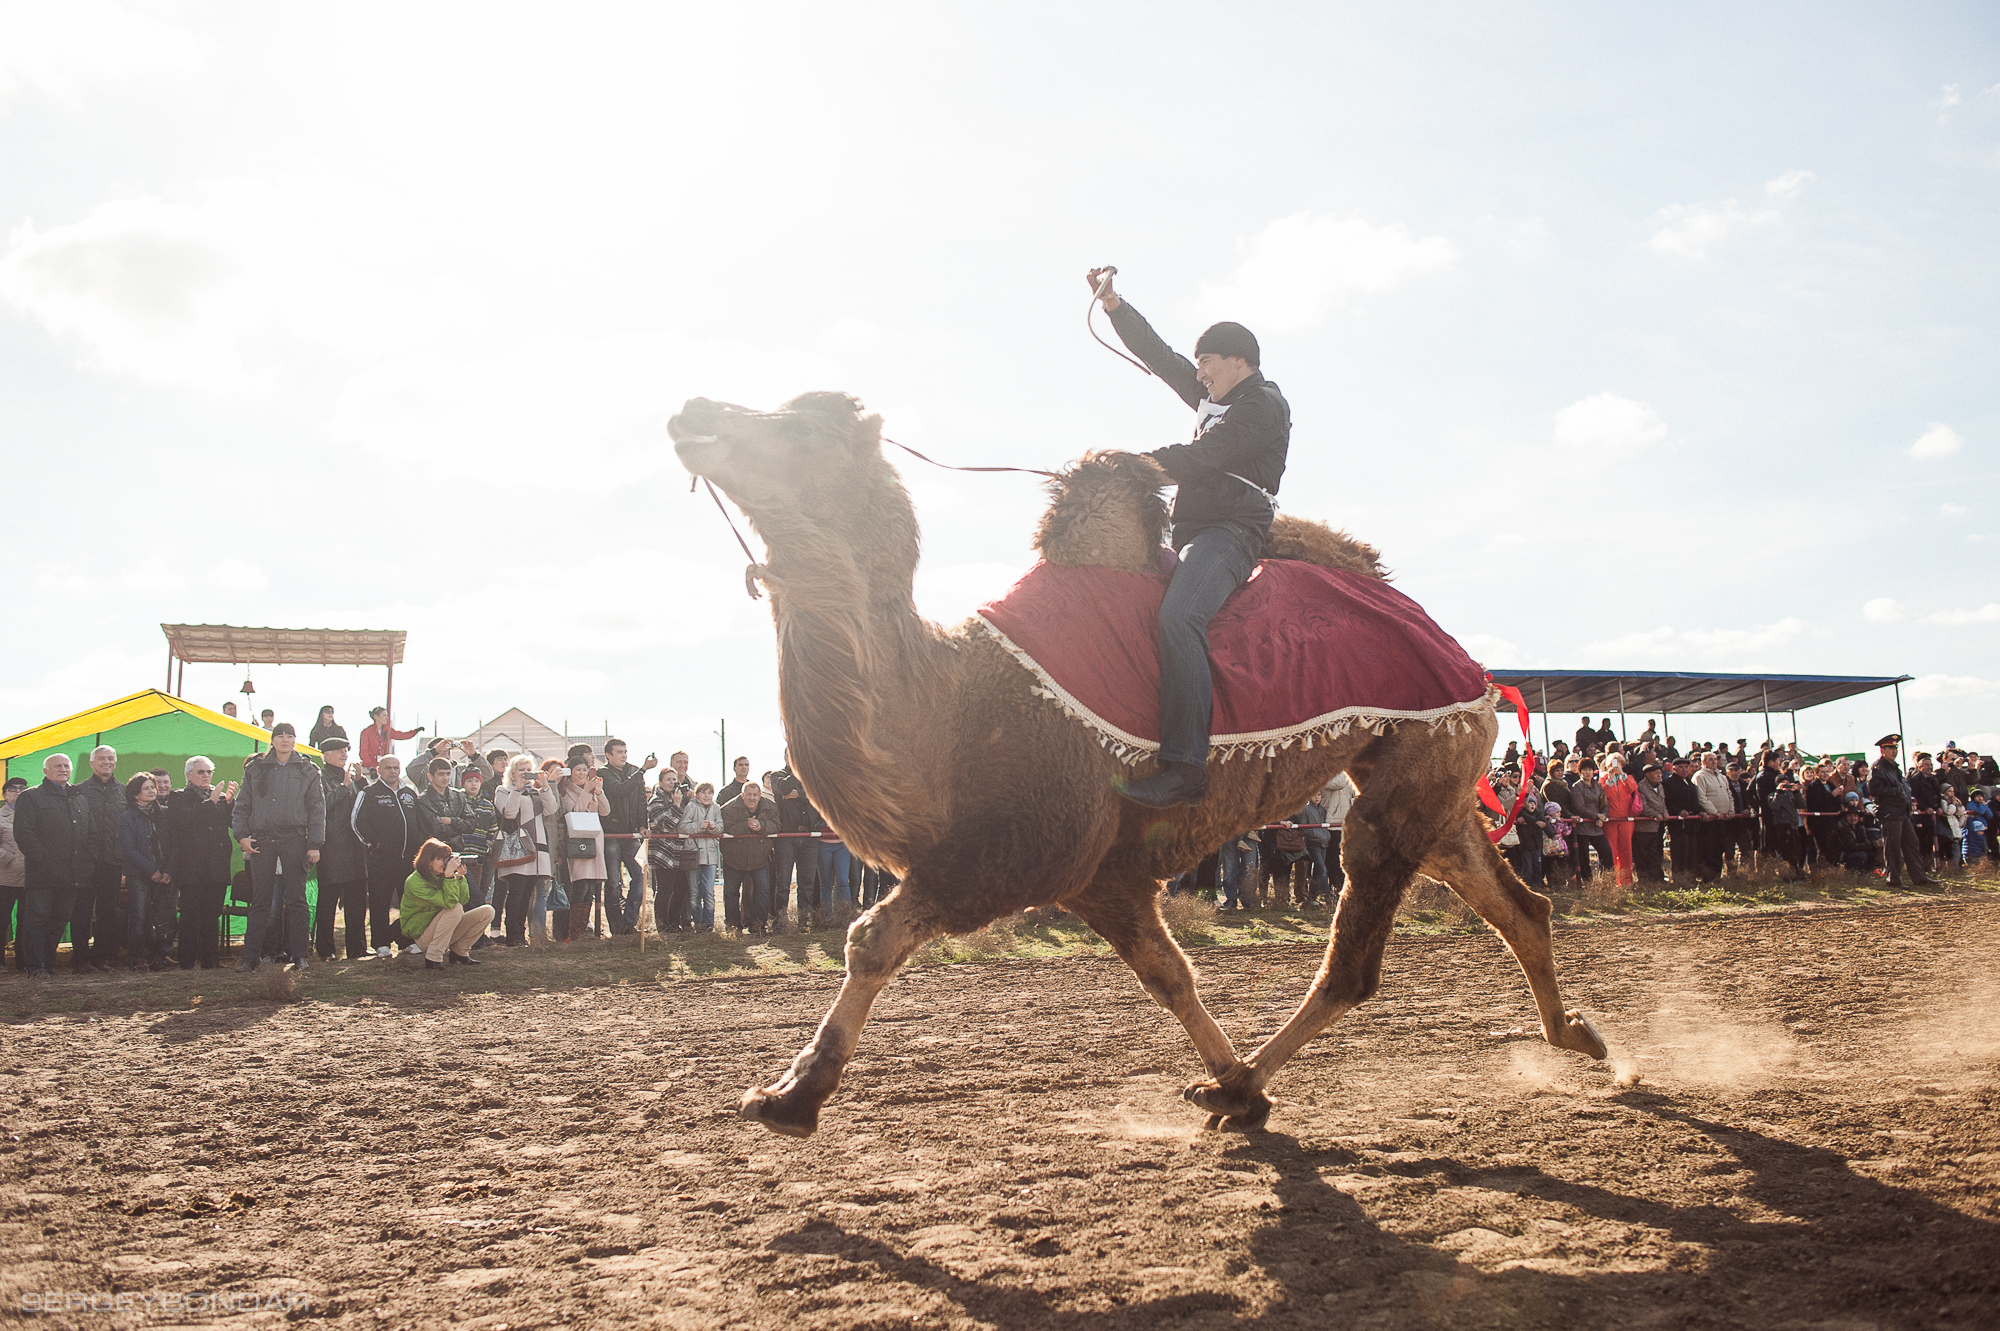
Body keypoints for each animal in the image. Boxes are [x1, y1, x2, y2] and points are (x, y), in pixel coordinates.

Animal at [672, 389, 1608, 1135]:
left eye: (803, 428)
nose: (691, 412)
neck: (951, 710)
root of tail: (1472, 667)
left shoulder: (1006, 856)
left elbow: (871, 939)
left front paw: (791, 1096)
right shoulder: (1104, 877)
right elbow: (1170, 976)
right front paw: (1235, 1082)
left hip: (1408, 772)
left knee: (1357, 958)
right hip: (1431, 781)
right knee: (1515, 902)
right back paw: (1574, 1033)